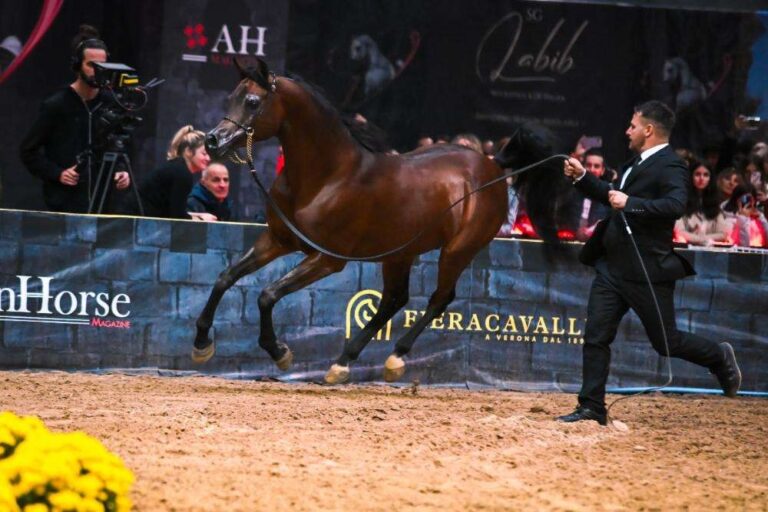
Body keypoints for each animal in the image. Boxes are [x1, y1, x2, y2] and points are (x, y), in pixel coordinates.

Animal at [191, 57, 510, 385]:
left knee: (440, 298)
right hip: (399, 254)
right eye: (232, 97)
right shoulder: (278, 240)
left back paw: (395, 357)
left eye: (253, 102)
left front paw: (279, 353)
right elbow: (225, 277)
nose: (212, 141)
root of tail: (492, 167)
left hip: (457, 251)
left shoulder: (328, 260)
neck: (327, 178)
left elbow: (267, 295)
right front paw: (202, 345)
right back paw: (342, 363)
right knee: (394, 300)